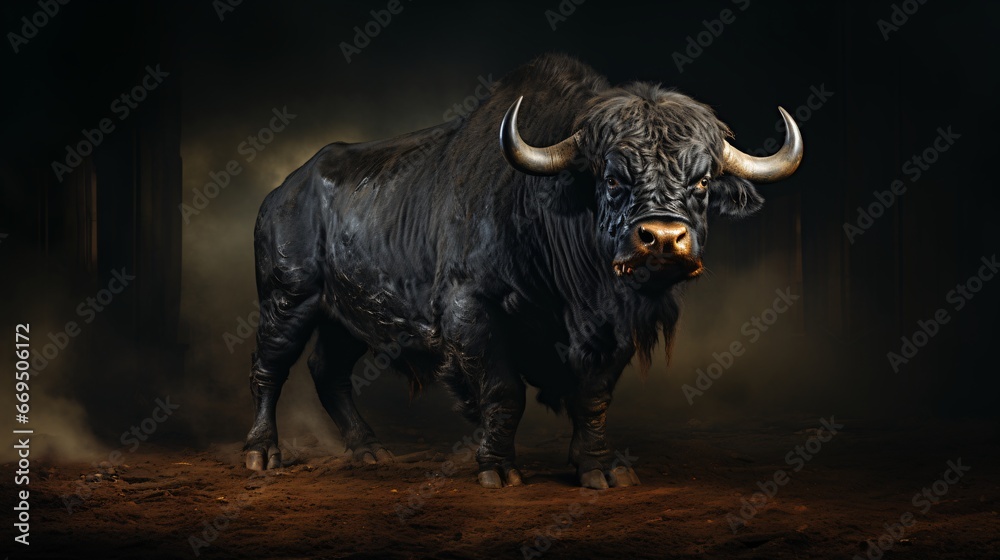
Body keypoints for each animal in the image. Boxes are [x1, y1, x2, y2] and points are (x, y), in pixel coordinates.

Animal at [244, 54, 802, 489]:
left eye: (702, 181)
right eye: (611, 178)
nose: (663, 239)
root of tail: (282, 192)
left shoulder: (611, 329)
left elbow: (593, 397)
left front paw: (597, 467)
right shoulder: (471, 312)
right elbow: (502, 392)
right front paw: (496, 468)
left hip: (345, 315)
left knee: (329, 371)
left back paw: (369, 450)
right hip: (288, 298)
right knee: (270, 367)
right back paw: (261, 453)